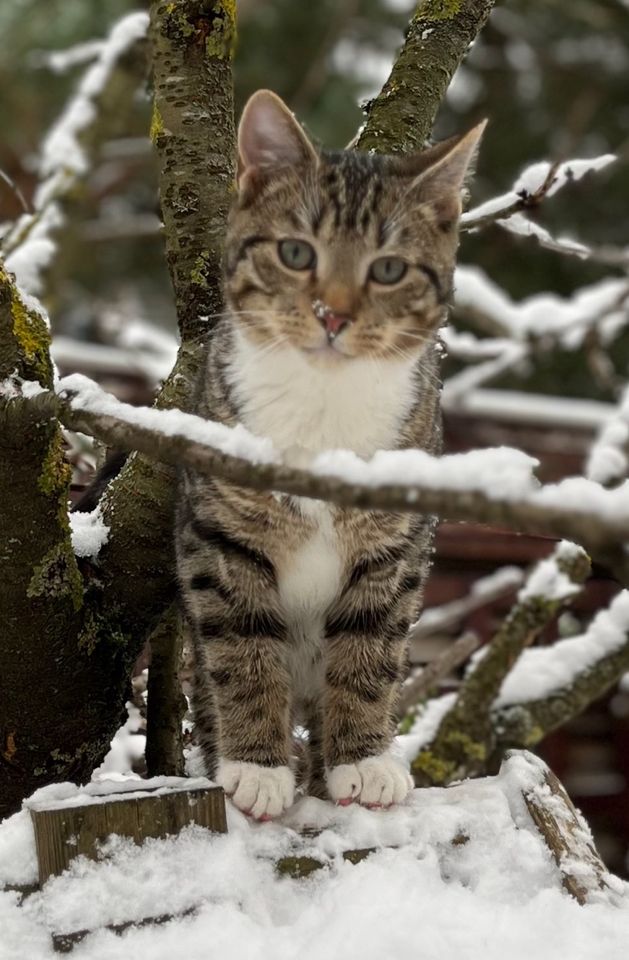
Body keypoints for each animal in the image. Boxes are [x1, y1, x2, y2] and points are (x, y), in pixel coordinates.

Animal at [174, 90, 484, 820]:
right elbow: (241, 642)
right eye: (294, 252)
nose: (333, 315)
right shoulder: (220, 531)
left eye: (389, 268)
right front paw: (257, 769)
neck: (323, 403)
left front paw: (362, 760)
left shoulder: (395, 542)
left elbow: (370, 646)